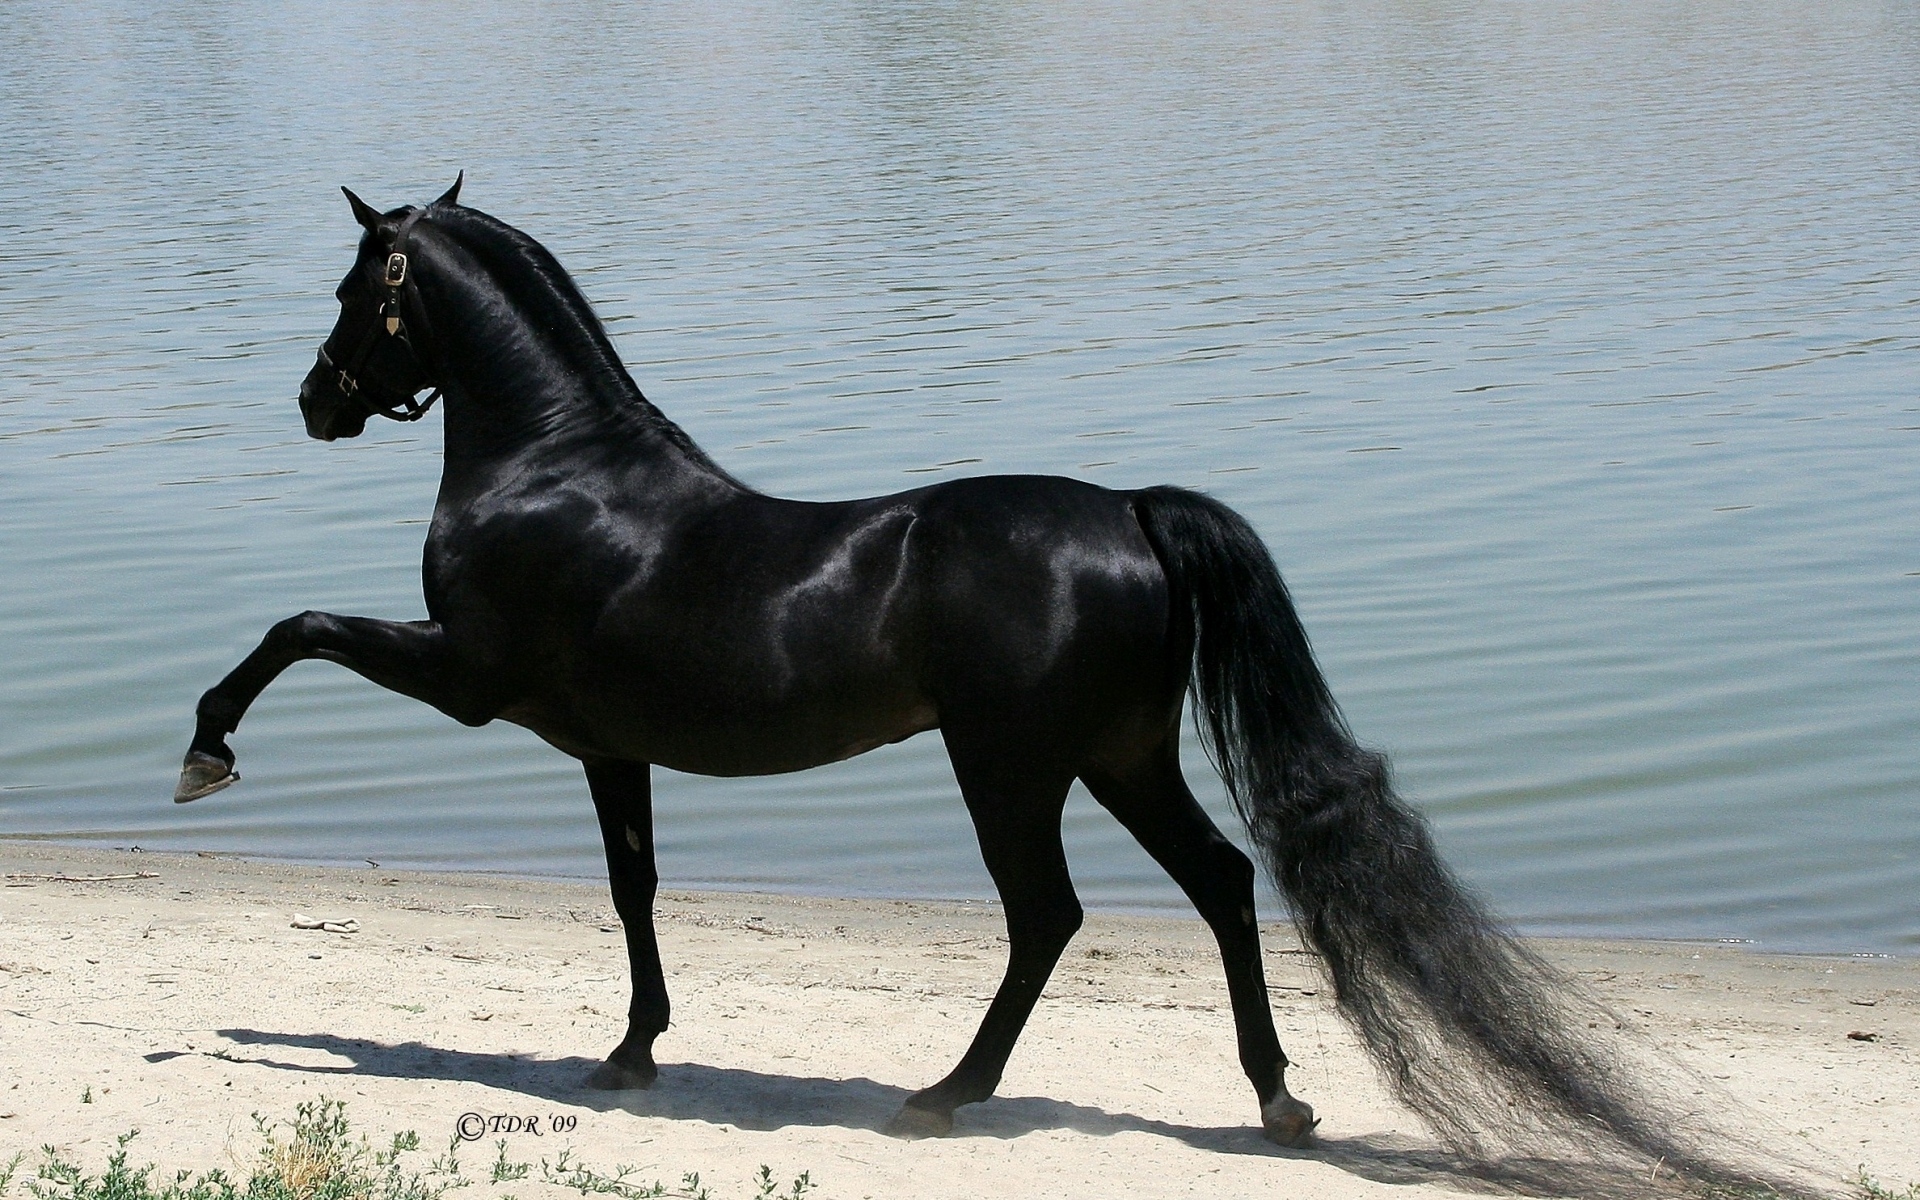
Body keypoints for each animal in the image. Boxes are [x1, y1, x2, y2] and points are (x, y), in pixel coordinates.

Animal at [173, 179, 1771, 1180]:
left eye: (353, 288)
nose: (315, 402)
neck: (559, 470)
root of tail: (1129, 509)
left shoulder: (471, 679)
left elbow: (296, 626)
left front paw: (206, 751)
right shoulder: (603, 745)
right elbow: (635, 890)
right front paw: (631, 1050)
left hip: (1011, 767)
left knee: (1049, 916)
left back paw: (948, 1097)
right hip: (1119, 758)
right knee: (1221, 884)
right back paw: (1277, 1102)